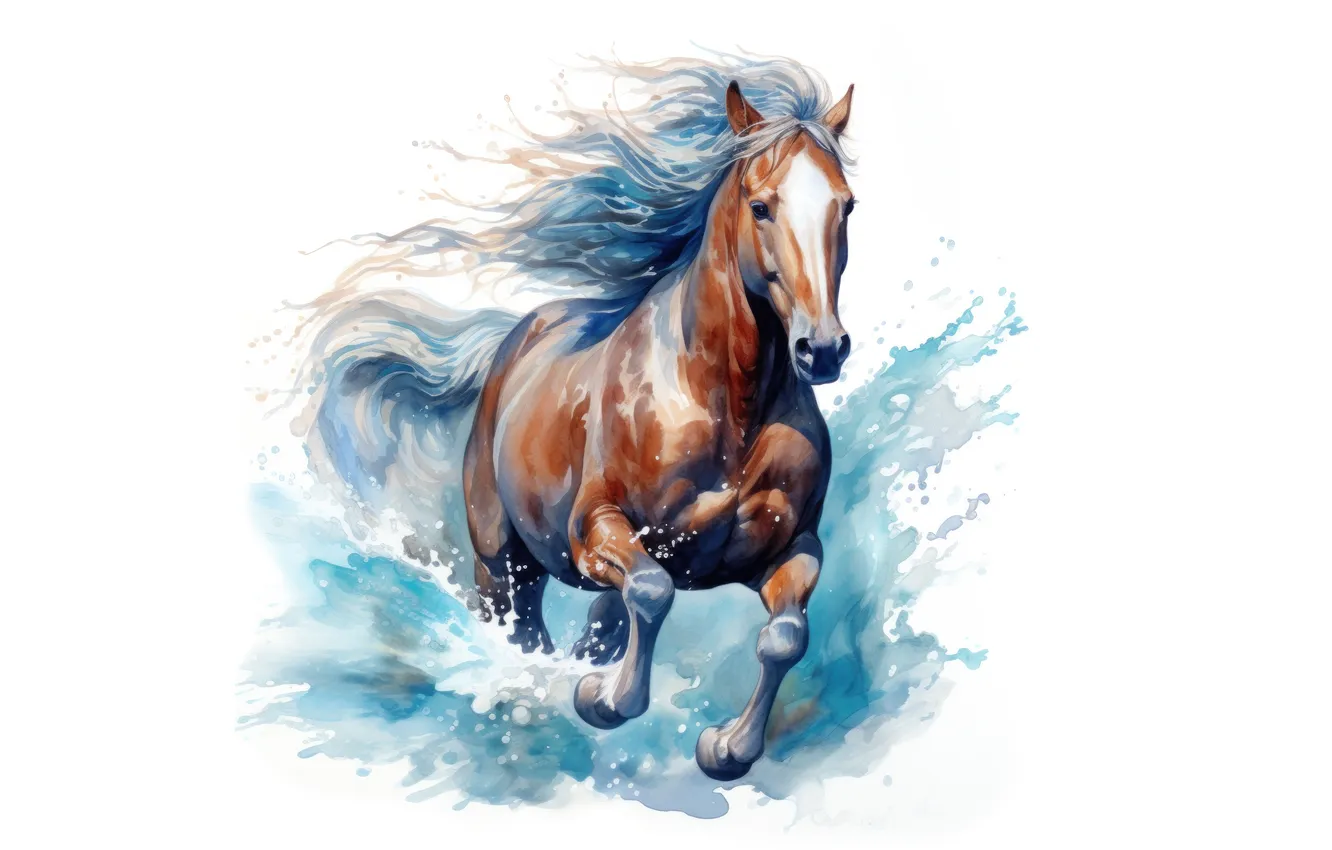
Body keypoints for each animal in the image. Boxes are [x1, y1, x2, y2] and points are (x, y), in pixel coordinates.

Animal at [460, 80, 856, 781]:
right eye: (761, 206)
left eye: (848, 205)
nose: (824, 349)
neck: (729, 408)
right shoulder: (595, 527)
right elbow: (651, 589)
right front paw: (601, 700)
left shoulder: (790, 549)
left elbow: (785, 637)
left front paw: (726, 748)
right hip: (501, 562)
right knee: (524, 625)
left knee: (598, 621)